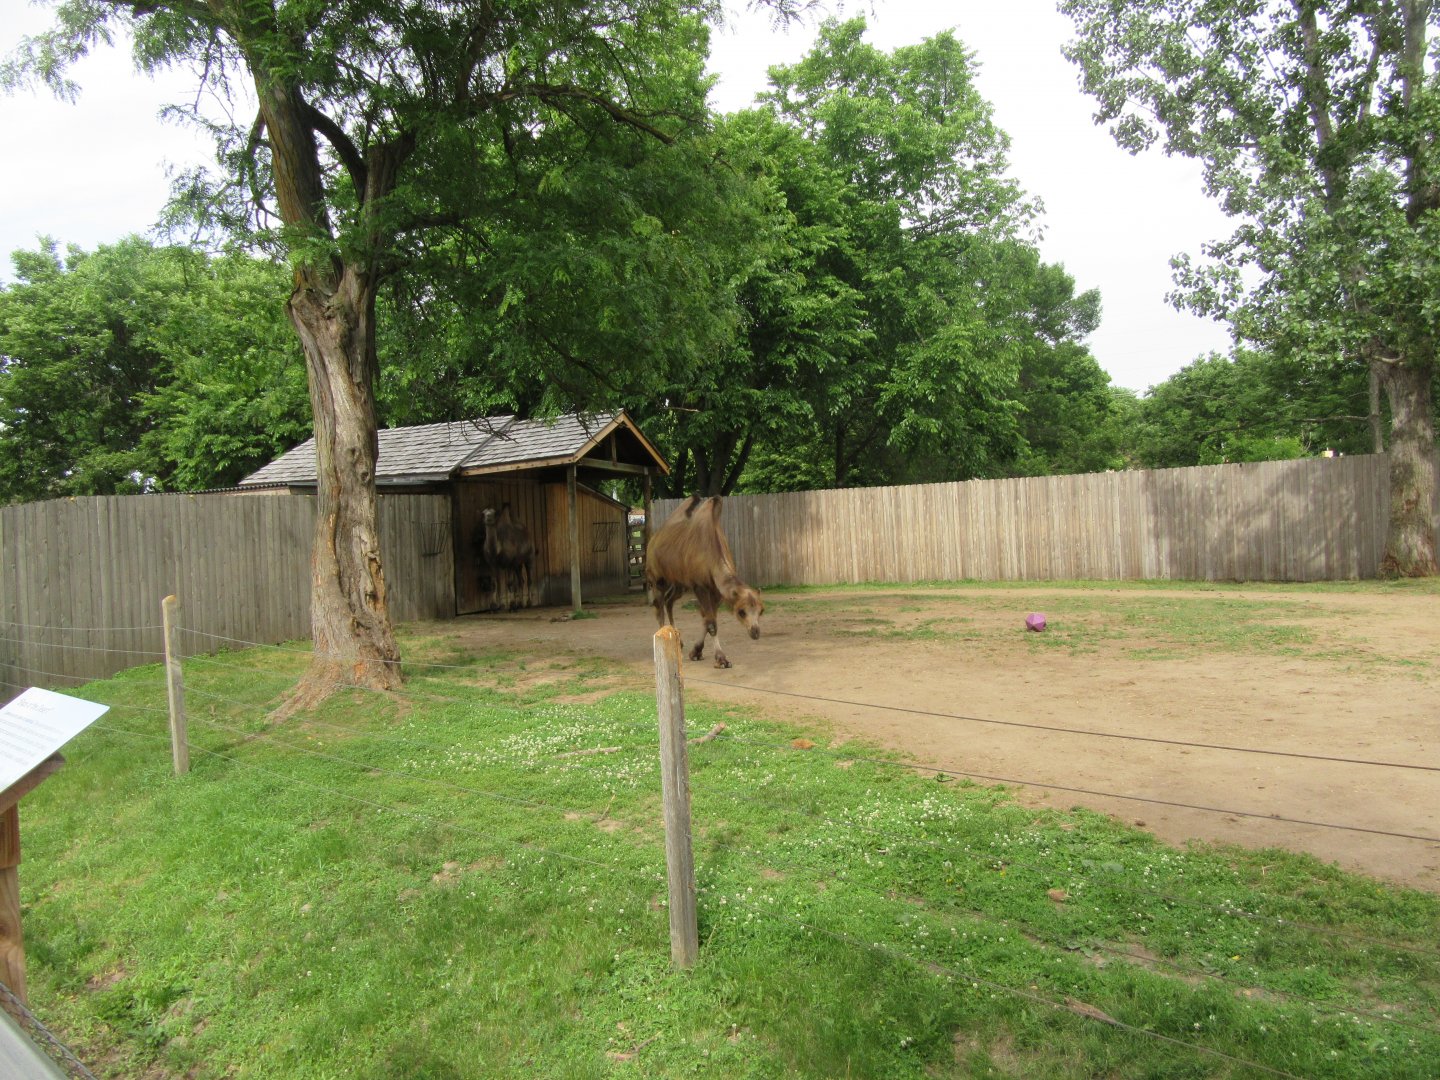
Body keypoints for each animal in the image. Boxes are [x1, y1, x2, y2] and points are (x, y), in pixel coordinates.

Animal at [645, 494, 763, 668]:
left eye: (761, 611)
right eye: (741, 612)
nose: (755, 632)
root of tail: (653, 539)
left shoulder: (716, 591)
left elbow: (708, 619)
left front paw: (696, 652)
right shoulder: (699, 586)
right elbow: (711, 623)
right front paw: (721, 659)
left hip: (679, 583)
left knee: (669, 601)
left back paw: (678, 640)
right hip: (657, 577)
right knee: (659, 607)